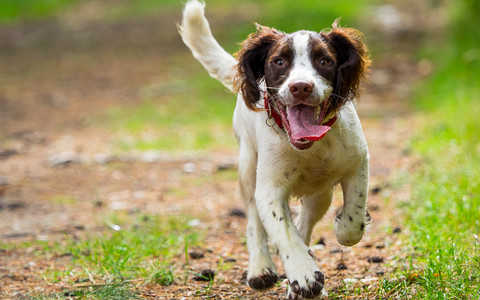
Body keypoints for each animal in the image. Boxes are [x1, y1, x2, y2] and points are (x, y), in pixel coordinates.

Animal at [180, 1, 372, 298]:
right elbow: (283, 232)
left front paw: (342, 226)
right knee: (254, 222)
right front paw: (304, 275)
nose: (301, 87)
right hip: (248, 169)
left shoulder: (357, 161)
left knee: (304, 223)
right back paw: (260, 268)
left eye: (325, 61)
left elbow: (353, 218)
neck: (309, 147)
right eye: (279, 61)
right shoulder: (269, 189)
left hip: (320, 194)